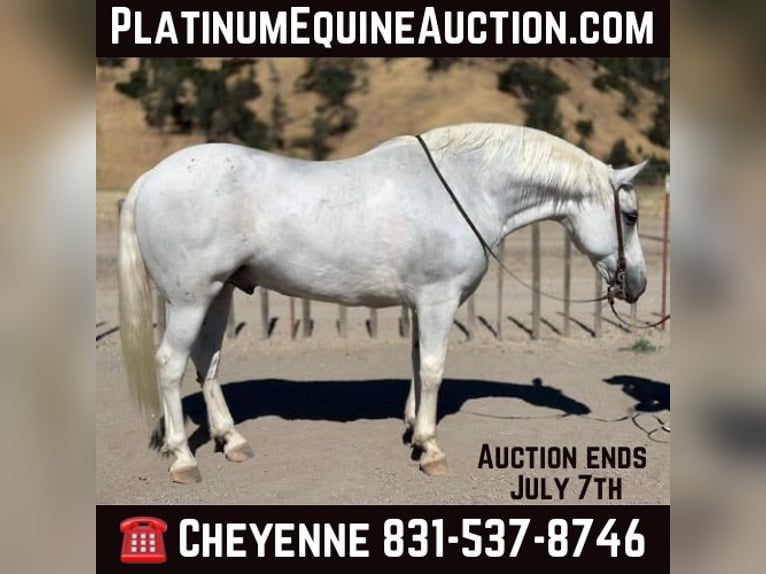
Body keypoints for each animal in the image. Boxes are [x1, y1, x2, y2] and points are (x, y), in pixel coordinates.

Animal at [118, 122, 648, 483]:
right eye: (630, 215)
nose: (638, 285)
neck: (465, 186)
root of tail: (151, 178)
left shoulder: (420, 302)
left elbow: (415, 363)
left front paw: (413, 429)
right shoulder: (438, 300)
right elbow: (432, 368)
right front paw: (431, 449)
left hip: (220, 292)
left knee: (208, 362)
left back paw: (233, 442)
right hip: (190, 299)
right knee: (170, 364)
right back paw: (183, 459)